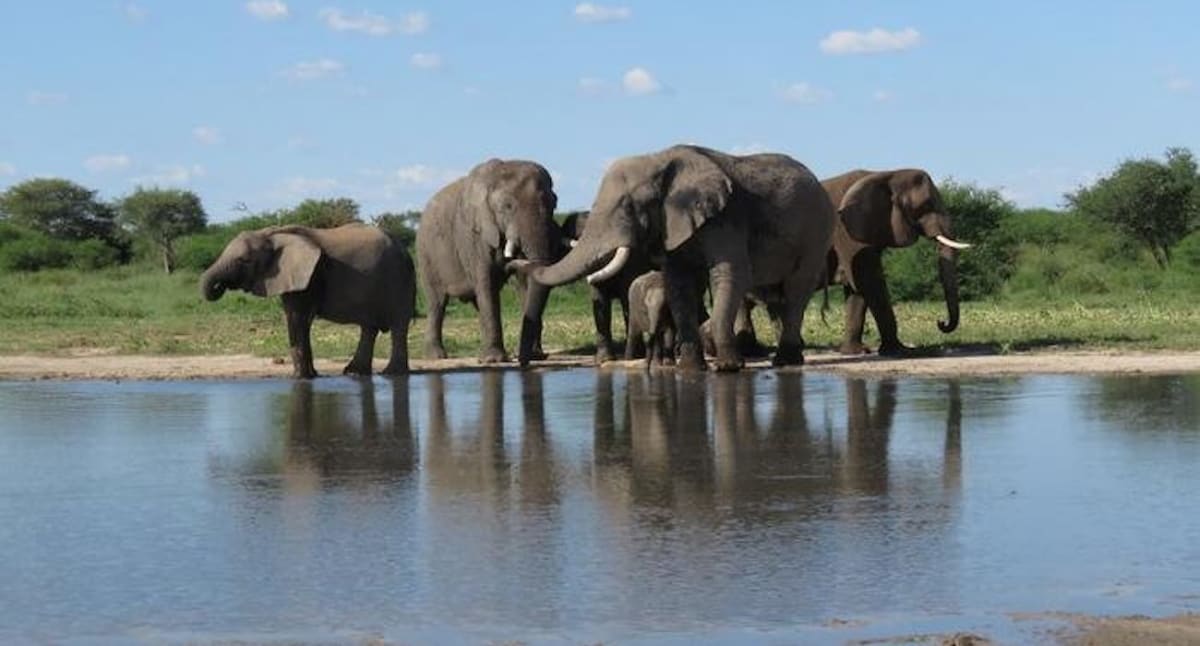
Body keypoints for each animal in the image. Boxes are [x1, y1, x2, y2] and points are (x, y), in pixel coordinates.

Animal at [200, 223, 415, 379]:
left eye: (244, 260)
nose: (220, 286)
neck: (272, 234)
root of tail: (404, 249)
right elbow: (301, 321)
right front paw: (312, 375)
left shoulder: (307, 276)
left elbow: (297, 319)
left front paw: (299, 378)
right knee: (369, 327)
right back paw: (354, 373)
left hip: (398, 278)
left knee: (398, 325)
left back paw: (392, 374)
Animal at [417, 159, 561, 366]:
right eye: (508, 206)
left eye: (553, 204)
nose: (520, 358)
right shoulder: (474, 235)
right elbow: (486, 282)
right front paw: (494, 360)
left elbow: (525, 282)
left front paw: (535, 356)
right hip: (426, 255)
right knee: (437, 303)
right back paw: (436, 356)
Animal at [823, 169, 971, 355]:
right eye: (926, 206)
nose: (940, 322)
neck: (886, 174)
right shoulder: (846, 233)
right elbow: (869, 281)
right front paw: (899, 351)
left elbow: (857, 289)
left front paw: (856, 351)